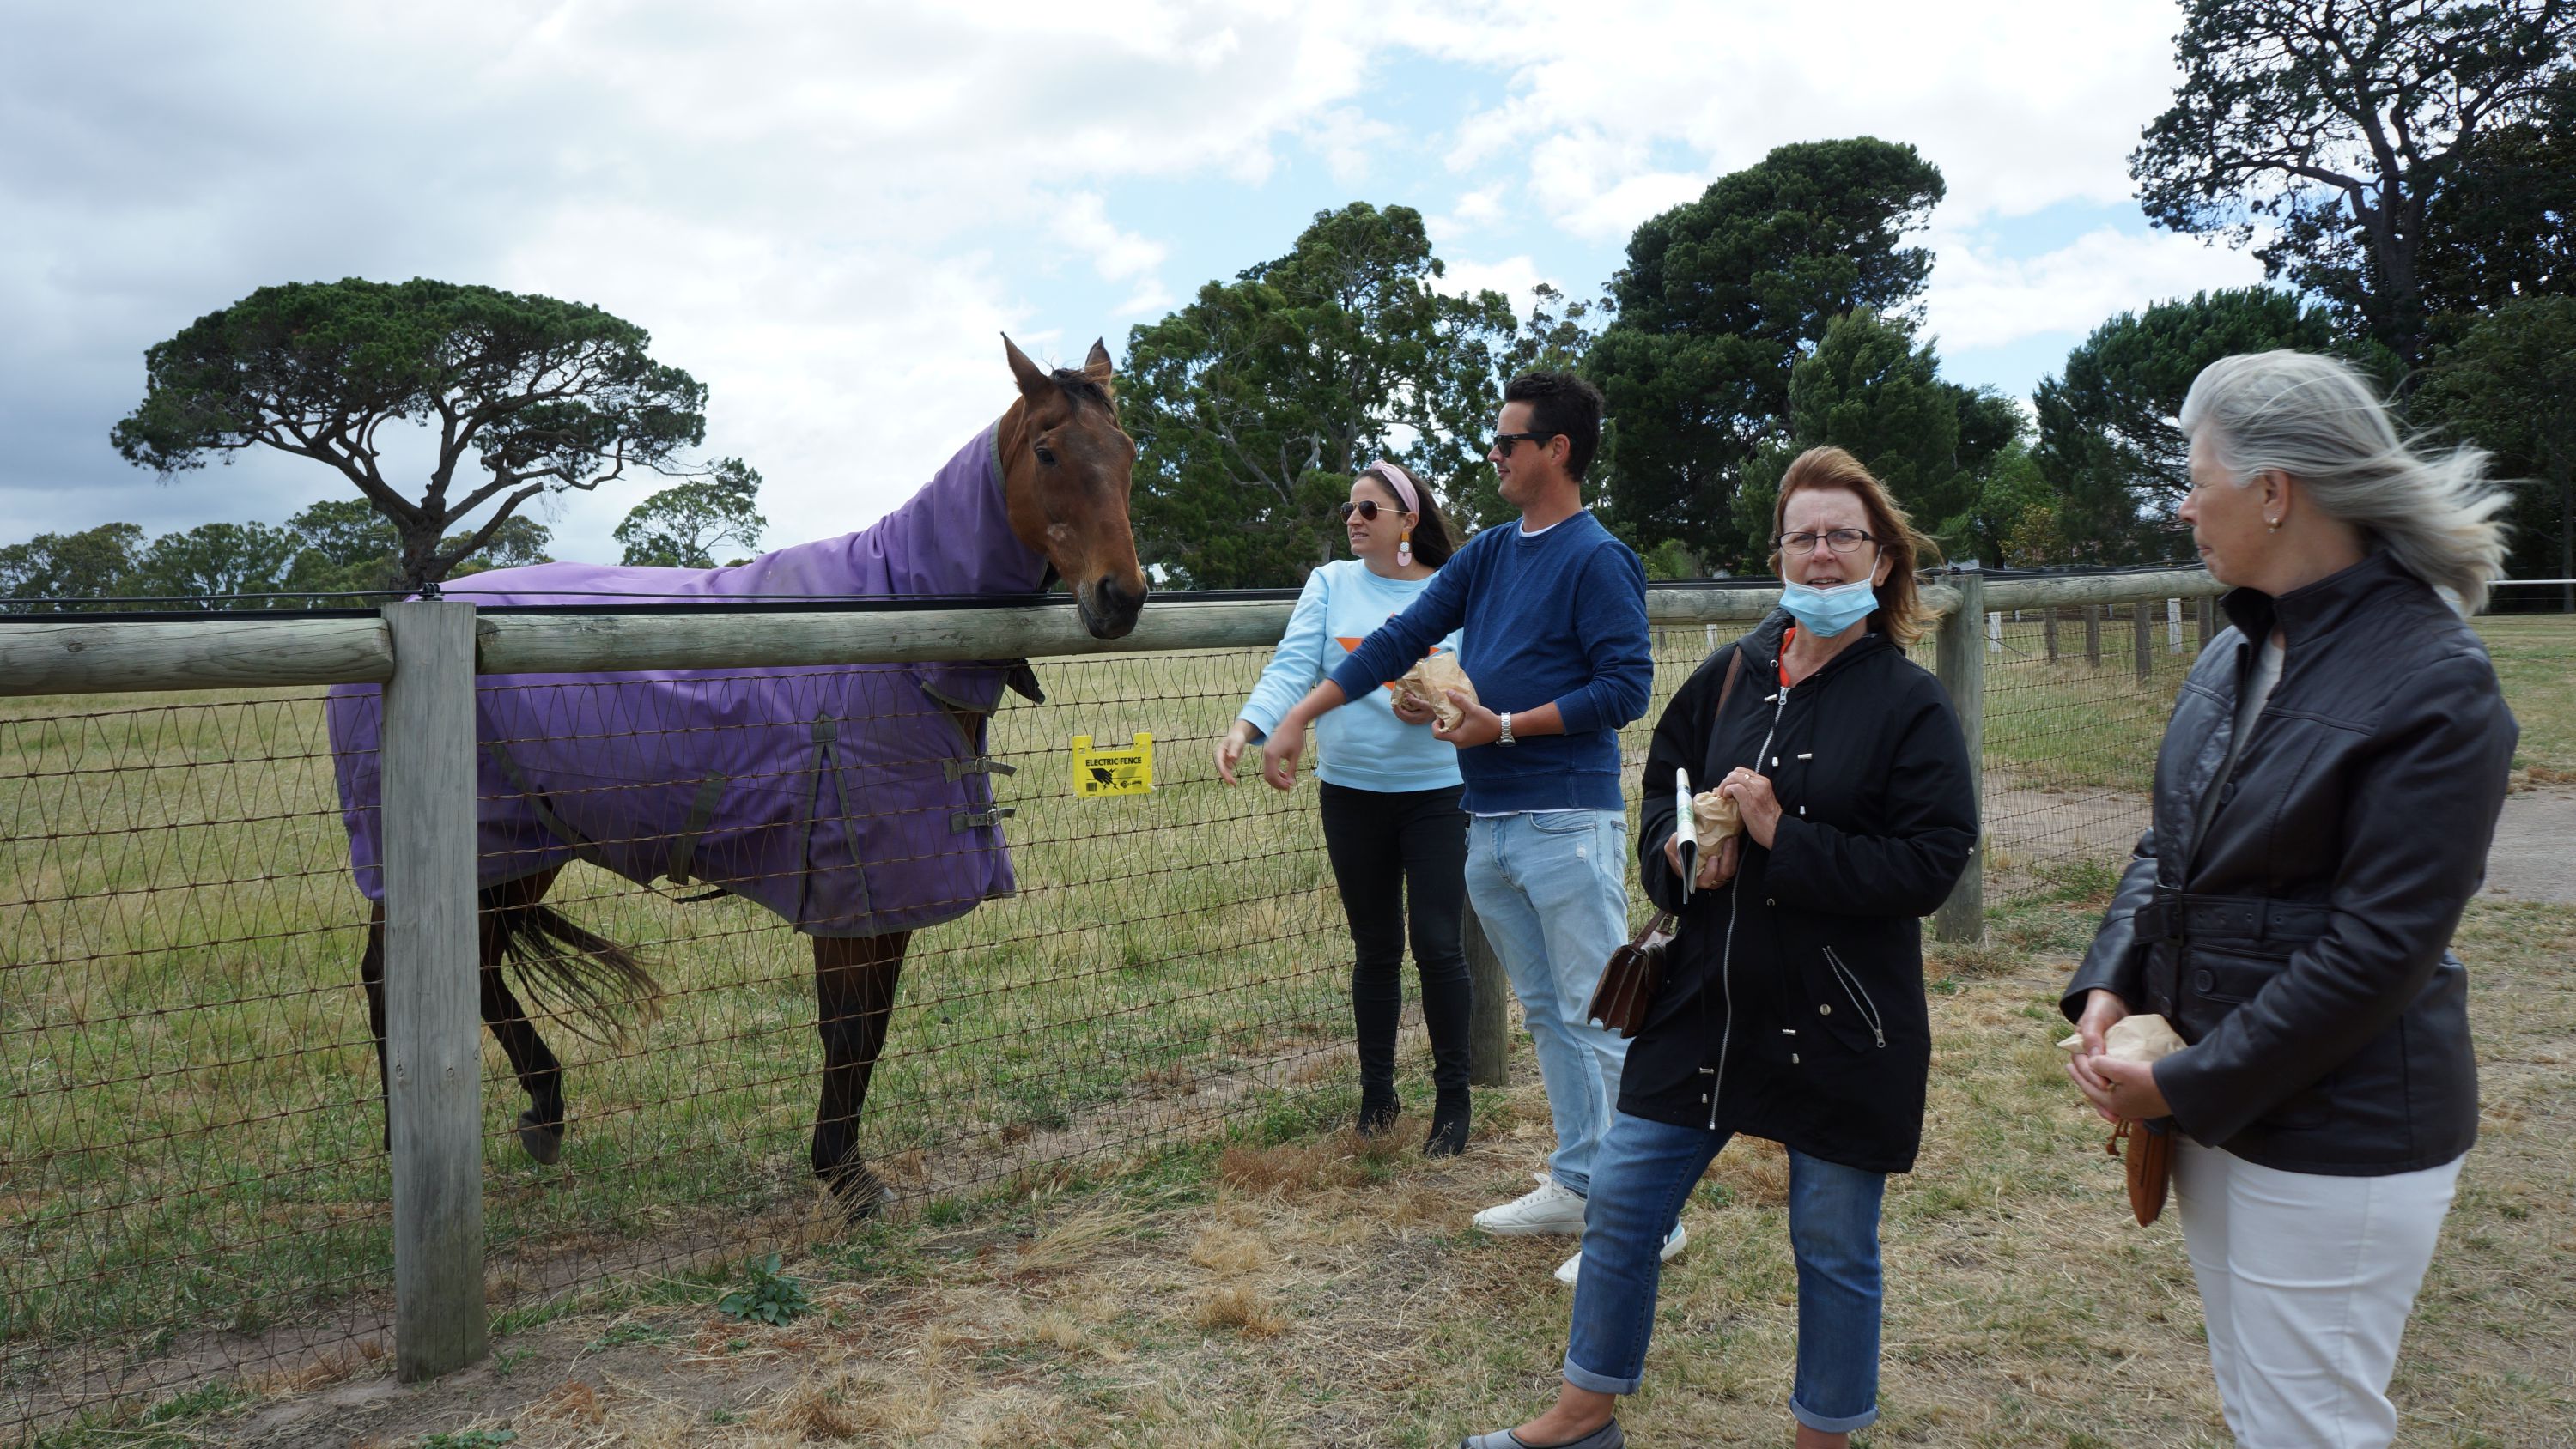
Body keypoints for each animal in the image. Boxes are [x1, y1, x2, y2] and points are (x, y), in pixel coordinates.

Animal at [350, 336, 1149, 1215]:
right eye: (1047, 451)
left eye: (1127, 451)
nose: (1121, 596)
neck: (892, 628)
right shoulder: (857, 891)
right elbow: (849, 1029)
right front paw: (844, 1175)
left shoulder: (890, 888)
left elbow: (869, 1026)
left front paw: (843, 1166)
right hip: (469, 859)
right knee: (391, 978)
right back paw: (411, 1141)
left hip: (521, 856)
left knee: (481, 971)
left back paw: (542, 1109)